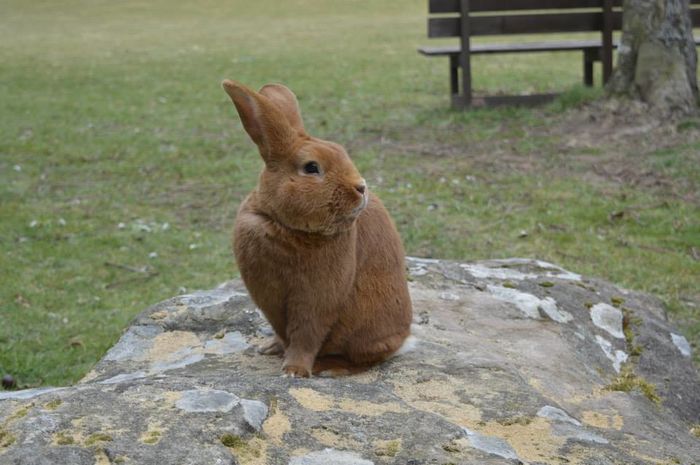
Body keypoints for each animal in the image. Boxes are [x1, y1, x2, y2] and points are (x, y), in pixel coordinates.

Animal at [223, 80, 410, 376]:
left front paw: (294, 370)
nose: (361, 187)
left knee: (364, 359)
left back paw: (331, 368)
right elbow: (285, 333)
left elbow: (306, 335)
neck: (281, 224)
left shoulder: (316, 300)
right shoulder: (271, 303)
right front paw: (271, 349)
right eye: (311, 168)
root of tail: (405, 337)